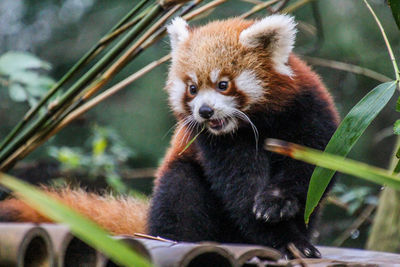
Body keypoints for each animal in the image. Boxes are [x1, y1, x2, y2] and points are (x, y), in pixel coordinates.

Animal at [0, 15, 338, 260]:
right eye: (192, 88)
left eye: (223, 84)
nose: (204, 111)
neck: (256, 123)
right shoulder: (214, 143)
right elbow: (239, 189)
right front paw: (283, 239)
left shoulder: (309, 110)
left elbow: (313, 169)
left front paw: (276, 205)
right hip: (176, 183)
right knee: (179, 194)